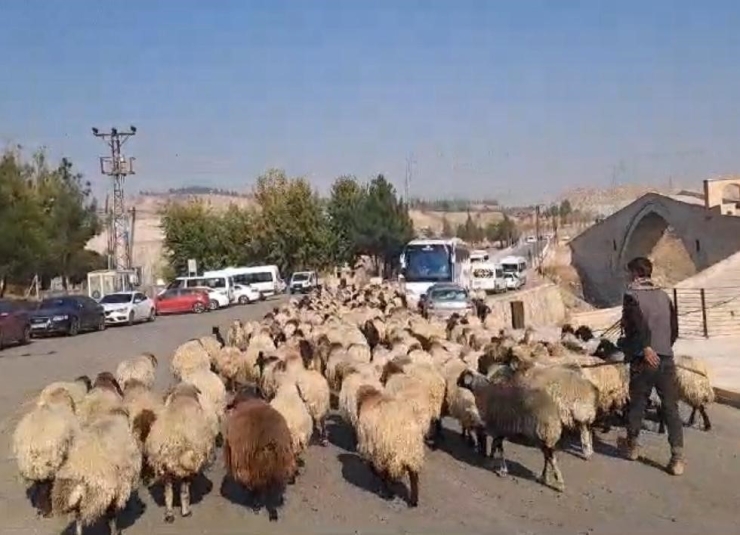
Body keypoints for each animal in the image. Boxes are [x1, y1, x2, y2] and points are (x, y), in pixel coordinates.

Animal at [51, 406, 142, 535]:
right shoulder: (119, 489)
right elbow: (112, 513)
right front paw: (114, 530)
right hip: (96, 500)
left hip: (82, 503)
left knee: (78, 520)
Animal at [223, 388, 298, 520]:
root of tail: (271, 439)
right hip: (280, 464)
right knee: (273, 487)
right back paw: (274, 508)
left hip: (253, 467)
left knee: (258, 487)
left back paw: (256, 505)